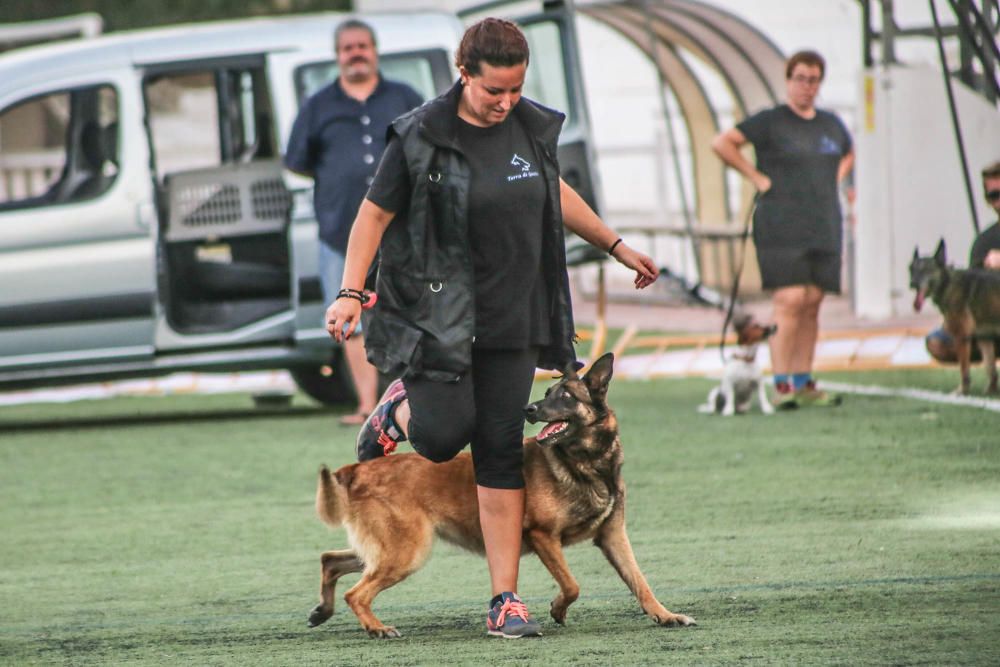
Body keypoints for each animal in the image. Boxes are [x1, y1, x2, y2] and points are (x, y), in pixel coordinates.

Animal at [310, 352, 696, 640]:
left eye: (565, 396)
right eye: (548, 393)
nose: (529, 409)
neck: (584, 463)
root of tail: (357, 470)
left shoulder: (613, 536)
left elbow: (641, 582)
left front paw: (666, 615)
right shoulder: (543, 536)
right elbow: (572, 585)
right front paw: (557, 609)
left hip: (391, 549)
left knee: (330, 560)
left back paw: (323, 611)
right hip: (407, 551)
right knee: (355, 592)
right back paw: (376, 627)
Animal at [912, 243, 1000, 394]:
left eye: (926, 270)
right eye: (912, 270)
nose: (913, 284)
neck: (948, 283)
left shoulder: (961, 337)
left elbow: (964, 370)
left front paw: (962, 391)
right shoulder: (984, 338)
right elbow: (990, 368)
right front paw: (991, 391)